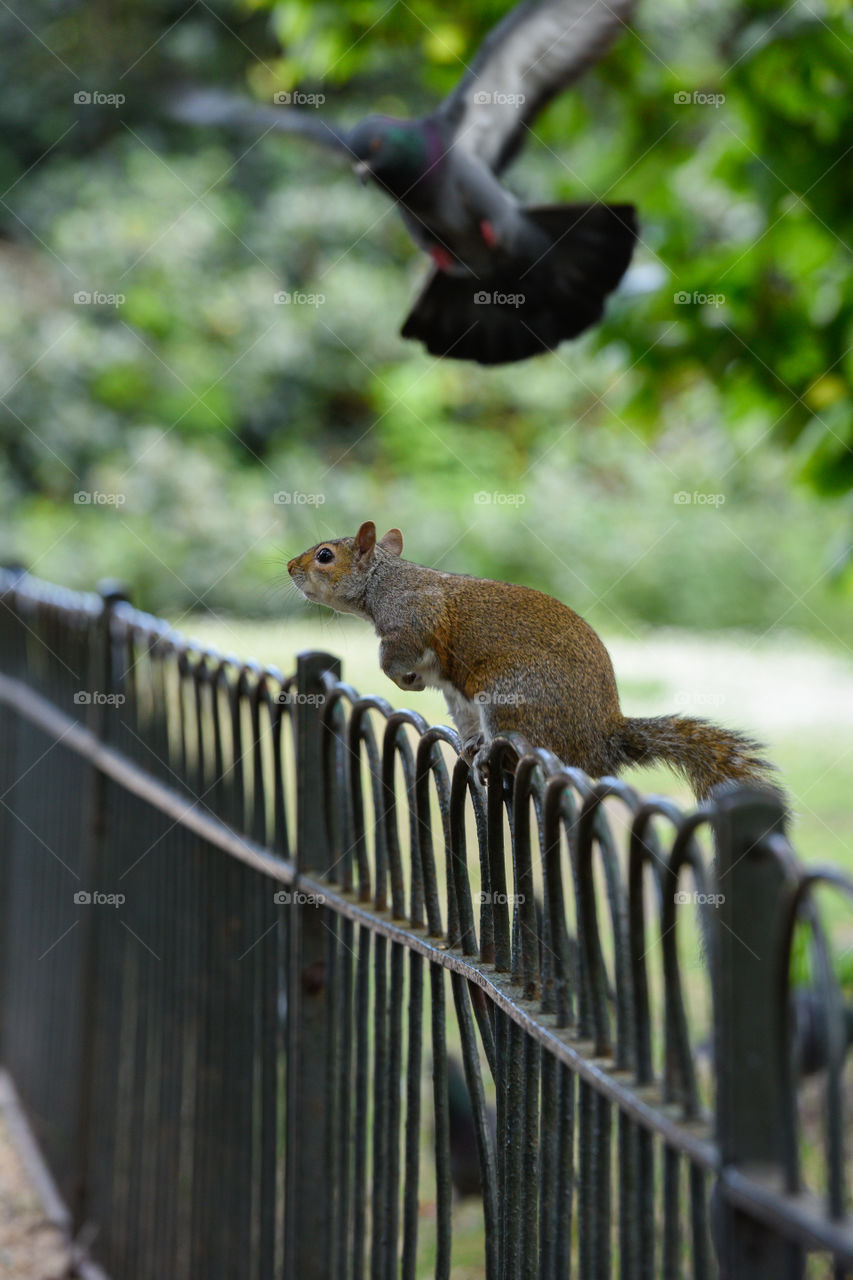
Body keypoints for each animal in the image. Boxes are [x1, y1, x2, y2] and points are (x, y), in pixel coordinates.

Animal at [287, 521, 784, 806]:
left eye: (325, 556)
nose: (290, 567)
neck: (383, 580)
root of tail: (603, 740)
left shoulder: (411, 621)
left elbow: (393, 656)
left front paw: (402, 679)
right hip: (475, 702)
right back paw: (474, 749)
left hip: (511, 697)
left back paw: (492, 756)